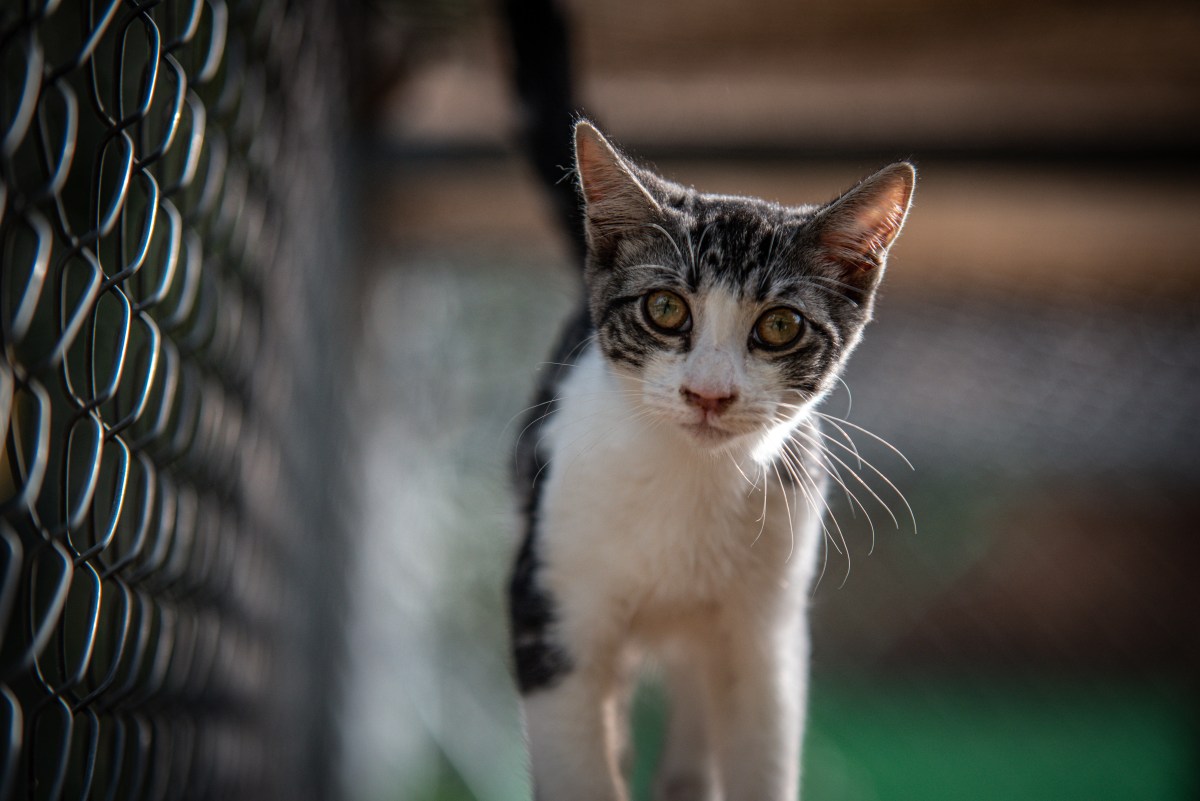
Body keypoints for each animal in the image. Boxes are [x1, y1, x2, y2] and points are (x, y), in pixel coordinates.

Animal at [508, 120, 916, 801]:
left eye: (780, 326)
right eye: (665, 308)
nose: (709, 393)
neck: (690, 481)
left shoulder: (769, 634)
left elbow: (763, 749)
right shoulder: (550, 603)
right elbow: (579, 766)